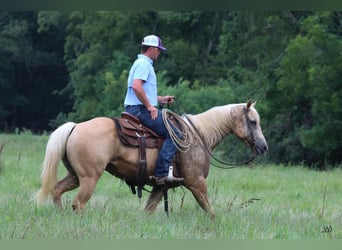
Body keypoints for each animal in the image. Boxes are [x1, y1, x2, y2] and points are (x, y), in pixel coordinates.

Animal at [36, 100, 268, 218]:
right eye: (253, 121)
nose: (264, 146)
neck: (199, 136)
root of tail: (75, 126)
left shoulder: (160, 186)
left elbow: (149, 209)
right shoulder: (196, 182)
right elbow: (210, 210)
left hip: (75, 175)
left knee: (57, 191)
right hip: (89, 178)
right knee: (78, 204)